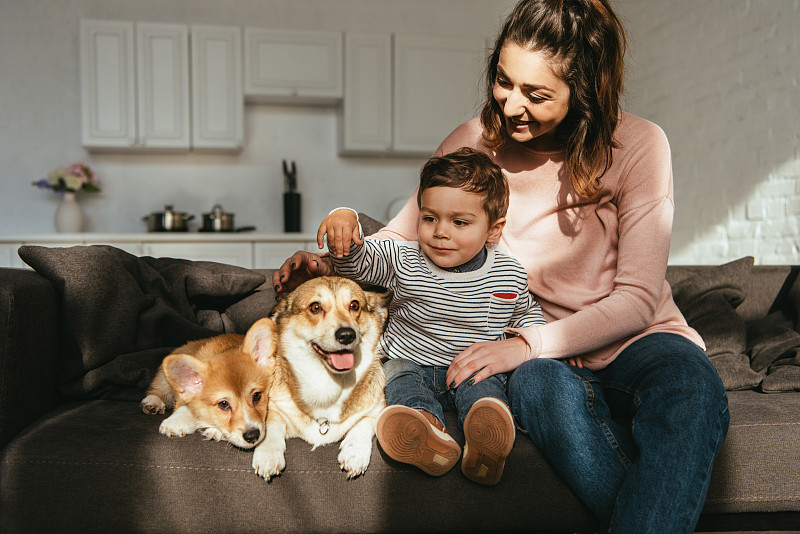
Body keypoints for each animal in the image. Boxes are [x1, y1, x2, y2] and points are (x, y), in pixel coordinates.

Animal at [144, 318, 278, 452]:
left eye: (257, 396)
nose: (252, 436)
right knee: (157, 390)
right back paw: (152, 403)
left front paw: (215, 432)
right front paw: (175, 421)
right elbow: (185, 406)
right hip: (163, 379)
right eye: (223, 404)